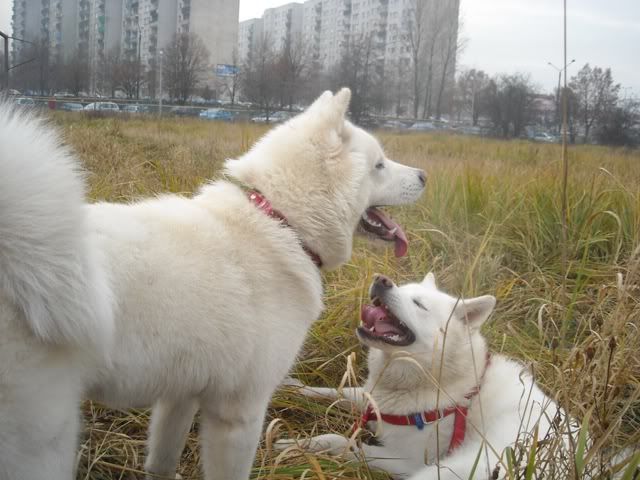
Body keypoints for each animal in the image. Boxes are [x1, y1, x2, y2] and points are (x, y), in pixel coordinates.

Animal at [0, 89, 426, 480]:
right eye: (380, 165)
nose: (424, 176)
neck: (280, 222)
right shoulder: (239, 415)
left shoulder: (179, 395)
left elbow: (162, 461)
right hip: (46, 441)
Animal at [278, 272, 560, 479]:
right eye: (403, 288)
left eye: (419, 305)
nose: (381, 279)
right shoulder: (373, 400)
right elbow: (331, 392)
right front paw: (290, 388)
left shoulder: (406, 461)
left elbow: (339, 441)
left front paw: (295, 446)